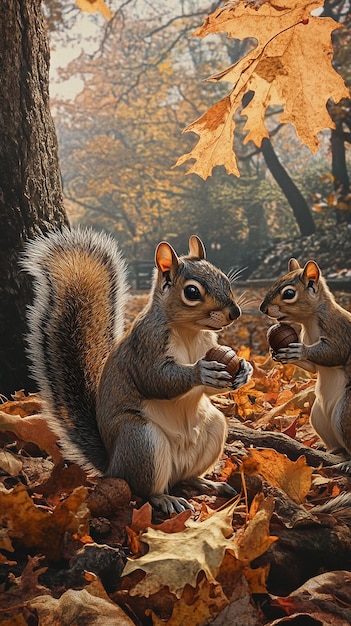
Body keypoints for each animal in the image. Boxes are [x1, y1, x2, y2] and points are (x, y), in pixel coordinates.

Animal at [23, 228, 253, 512]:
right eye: (192, 292)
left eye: (224, 278)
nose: (235, 312)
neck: (189, 332)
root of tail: (112, 465)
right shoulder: (145, 345)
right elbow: (154, 380)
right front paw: (200, 372)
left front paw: (244, 370)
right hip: (142, 441)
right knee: (144, 489)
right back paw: (166, 498)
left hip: (213, 427)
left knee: (187, 477)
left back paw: (207, 483)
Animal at [260, 256, 351, 466]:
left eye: (289, 293)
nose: (262, 308)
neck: (309, 321)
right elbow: (314, 368)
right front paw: (276, 353)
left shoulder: (338, 331)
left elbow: (336, 353)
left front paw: (300, 351)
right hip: (317, 418)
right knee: (338, 446)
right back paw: (329, 449)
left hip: (346, 415)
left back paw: (347, 463)